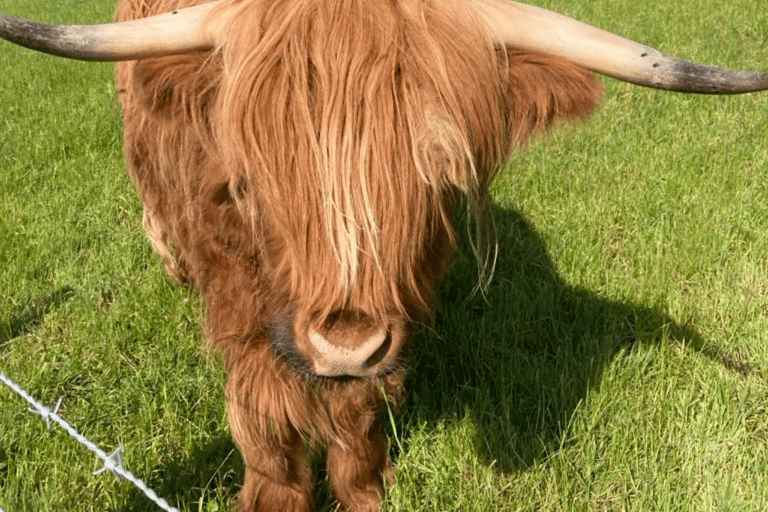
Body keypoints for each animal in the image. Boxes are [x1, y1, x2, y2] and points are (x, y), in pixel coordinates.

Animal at [1, 1, 768, 512]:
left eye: (437, 173)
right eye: (252, 178)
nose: (345, 342)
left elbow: (360, 413)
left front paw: (368, 488)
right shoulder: (242, 301)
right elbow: (261, 415)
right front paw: (273, 497)